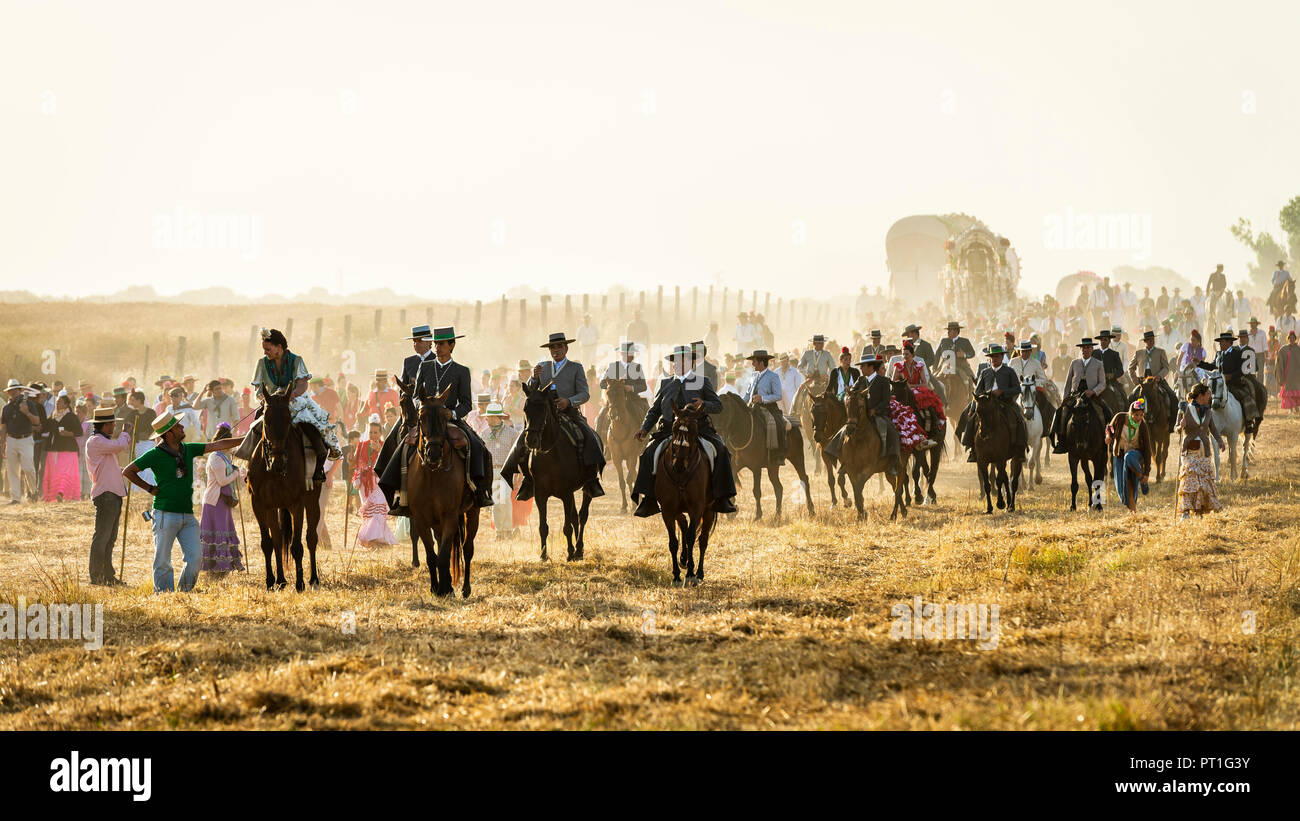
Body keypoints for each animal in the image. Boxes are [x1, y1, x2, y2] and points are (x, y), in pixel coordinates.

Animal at [245, 384, 322, 589]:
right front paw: (271, 581)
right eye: (266, 421)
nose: (277, 463)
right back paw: (280, 579)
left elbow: (297, 546)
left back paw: (313, 579)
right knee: (278, 540)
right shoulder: (259, 504)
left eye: (289, 420)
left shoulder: (297, 504)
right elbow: (268, 543)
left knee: (311, 538)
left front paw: (300, 583)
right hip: (274, 507)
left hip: (312, 501)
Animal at [400, 379, 483, 597]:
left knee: (467, 548)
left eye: (446, 418)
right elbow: (432, 555)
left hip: (472, 512)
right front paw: (435, 588)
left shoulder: (450, 516)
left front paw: (446, 589)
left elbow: (445, 554)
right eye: (422, 417)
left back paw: (464, 588)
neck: (432, 474)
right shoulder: (420, 518)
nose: (434, 452)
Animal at [520, 381, 595, 561]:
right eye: (525, 409)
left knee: (582, 516)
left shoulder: (566, 494)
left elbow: (567, 526)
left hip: (587, 487)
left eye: (542, 409)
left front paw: (570, 553)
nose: (531, 441)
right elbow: (543, 526)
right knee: (575, 517)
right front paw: (543, 555)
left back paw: (579, 550)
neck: (550, 454)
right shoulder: (540, 495)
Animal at [655, 402, 717, 584]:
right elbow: (673, 542)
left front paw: (690, 573)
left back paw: (699, 572)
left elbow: (691, 538)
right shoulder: (667, 510)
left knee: (702, 539)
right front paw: (676, 574)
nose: (678, 465)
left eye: (694, 432)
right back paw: (683, 560)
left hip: (709, 510)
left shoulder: (696, 508)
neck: (680, 475)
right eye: (674, 429)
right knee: (683, 523)